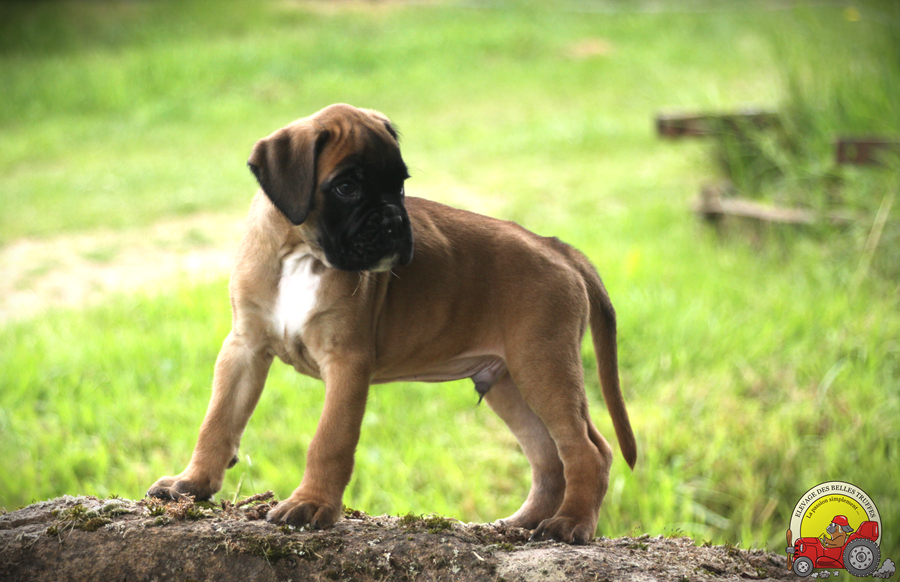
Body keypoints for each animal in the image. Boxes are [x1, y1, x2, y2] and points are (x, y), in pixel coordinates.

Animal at [148, 103, 636, 544]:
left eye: (400, 186)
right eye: (346, 186)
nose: (394, 221)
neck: (300, 254)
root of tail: (555, 246)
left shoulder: (347, 363)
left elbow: (330, 440)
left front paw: (312, 504)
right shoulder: (244, 348)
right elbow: (217, 419)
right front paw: (192, 483)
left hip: (543, 368)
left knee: (588, 450)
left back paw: (570, 524)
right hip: (510, 383)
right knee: (547, 456)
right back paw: (523, 523)